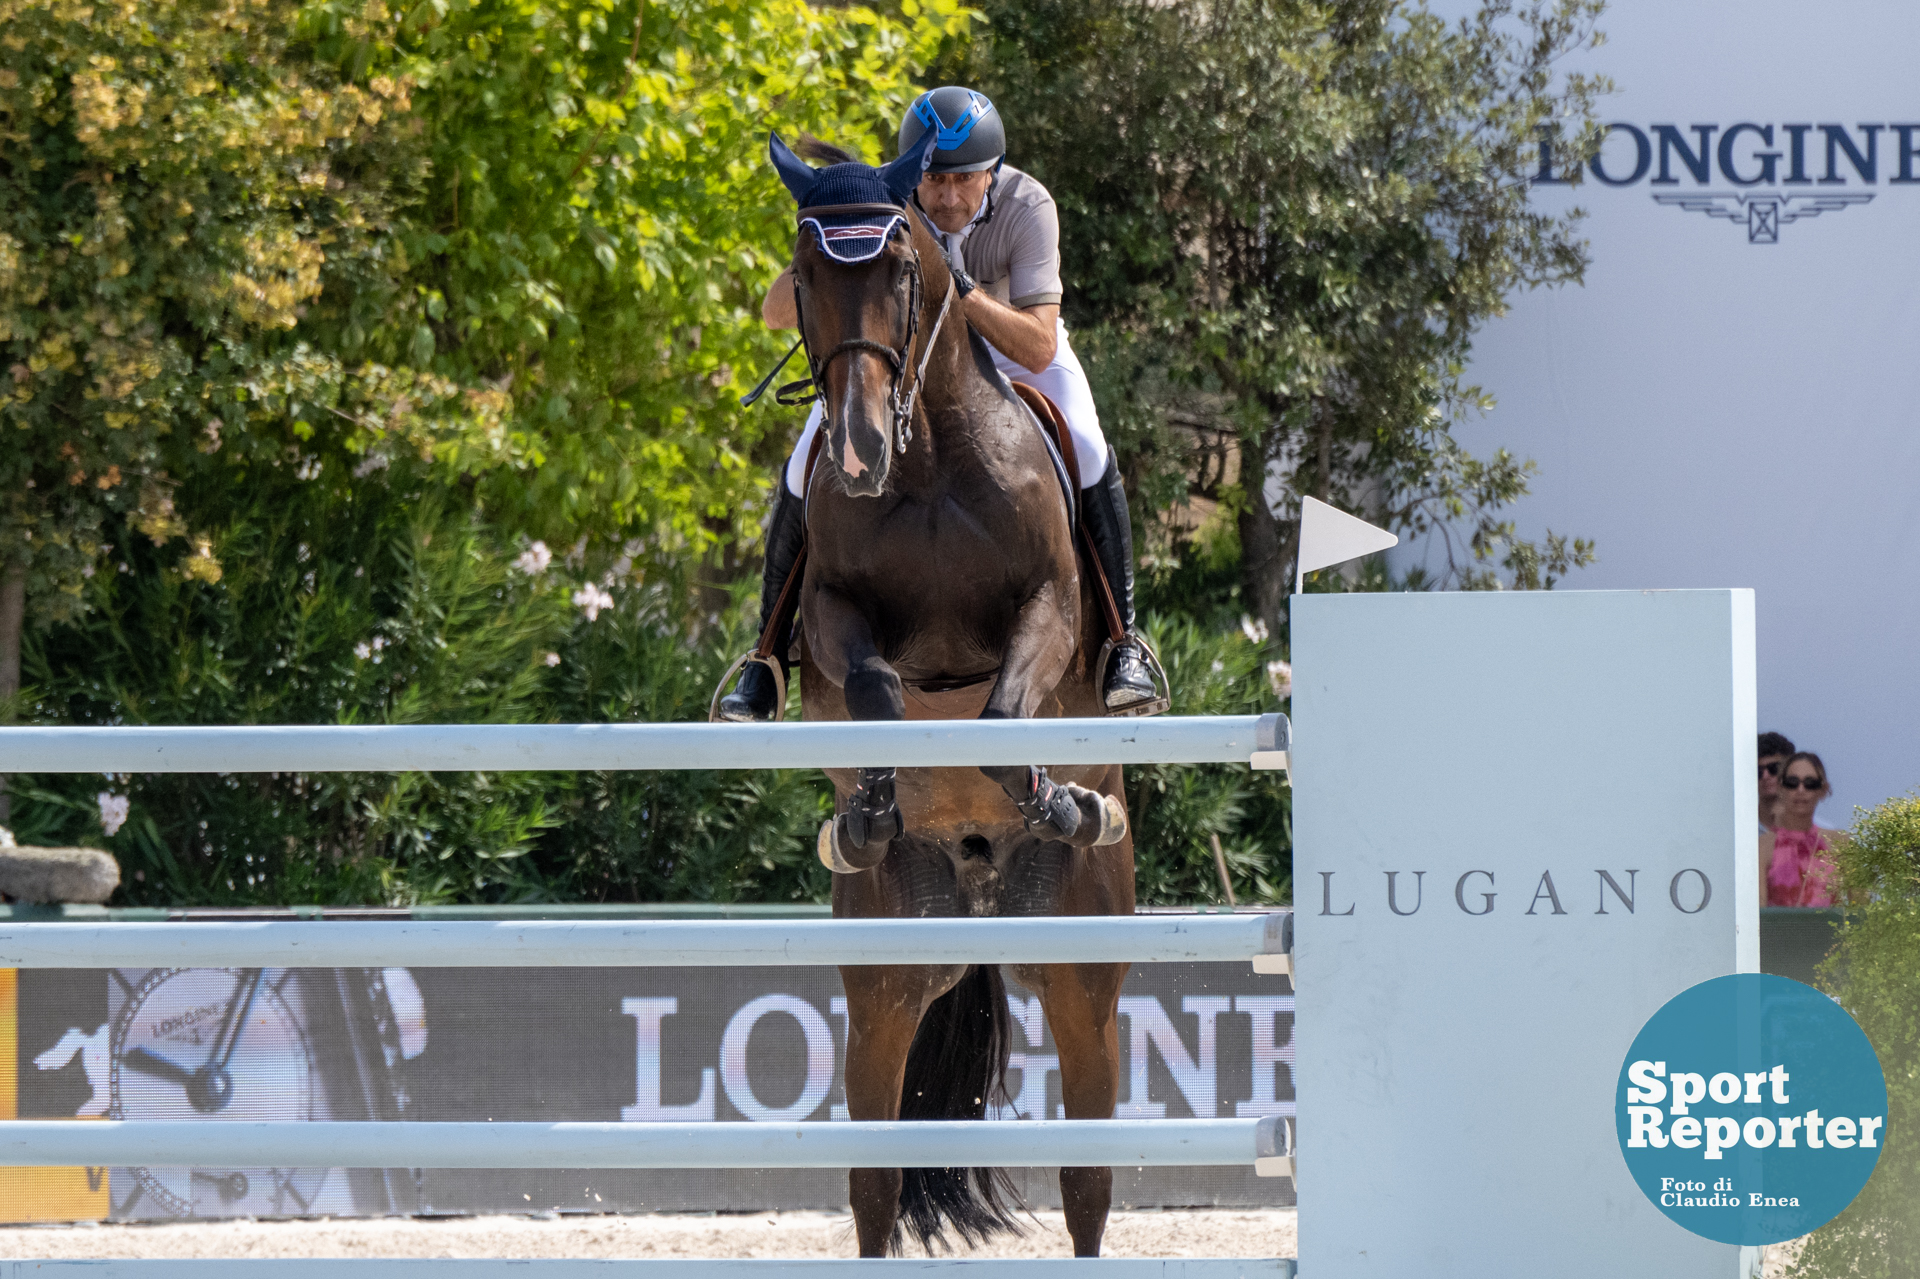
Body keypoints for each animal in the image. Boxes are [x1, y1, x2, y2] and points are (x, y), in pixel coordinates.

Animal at [760, 131, 1128, 1252]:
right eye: (804, 278)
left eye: (902, 273)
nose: (857, 450)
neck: (926, 461)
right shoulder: (834, 615)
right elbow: (876, 685)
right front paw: (869, 809)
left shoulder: (1050, 605)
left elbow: (1005, 717)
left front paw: (1062, 799)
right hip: (887, 982)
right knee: (875, 1182)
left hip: (1084, 982)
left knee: (1089, 1182)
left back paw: (1083, 809)